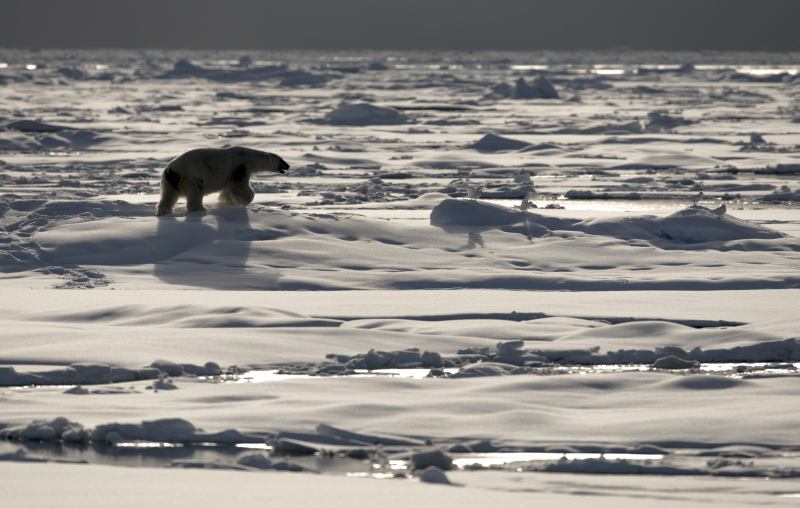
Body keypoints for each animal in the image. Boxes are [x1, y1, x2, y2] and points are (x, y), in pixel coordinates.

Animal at [155, 146, 290, 215]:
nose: (288, 165)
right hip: (192, 174)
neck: (248, 157)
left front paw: (226, 201)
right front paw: (243, 202)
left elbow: (228, 190)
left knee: (168, 195)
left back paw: (164, 211)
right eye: (281, 160)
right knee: (197, 191)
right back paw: (201, 209)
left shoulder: (232, 175)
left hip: (170, 181)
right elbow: (239, 187)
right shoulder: (239, 168)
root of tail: (170, 170)